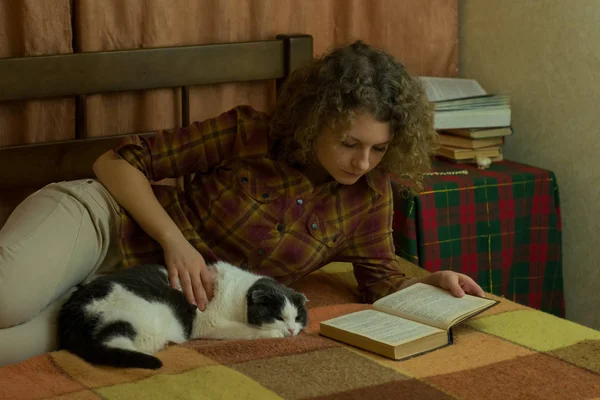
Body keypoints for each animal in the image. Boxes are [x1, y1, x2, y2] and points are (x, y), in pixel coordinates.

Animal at [57, 260, 310, 370]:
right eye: (279, 317)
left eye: (298, 318)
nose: (291, 330)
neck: (237, 292)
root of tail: (71, 311)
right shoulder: (209, 322)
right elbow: (245, 330)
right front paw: (274, 333)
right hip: (145, 316)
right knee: (114, 342)